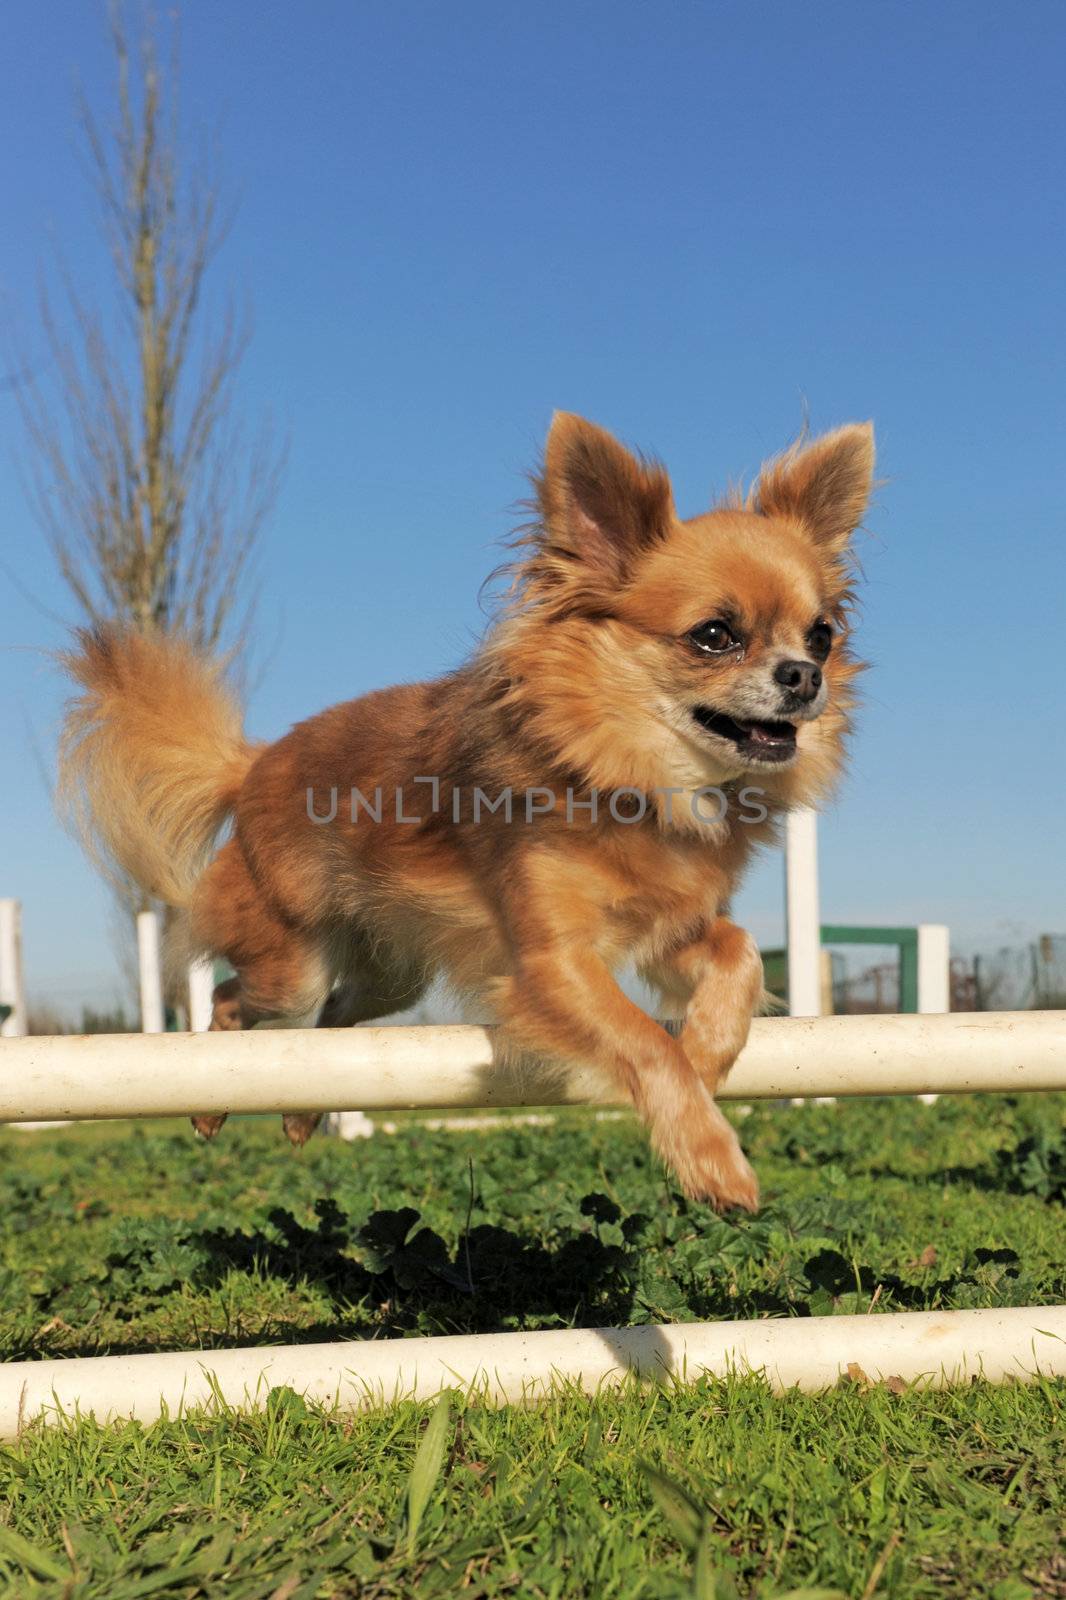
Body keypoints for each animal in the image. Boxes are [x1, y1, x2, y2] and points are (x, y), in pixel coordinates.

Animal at [60, 416, 870, 1209]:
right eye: (714, 636)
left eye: (823, 635)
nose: (805, 675)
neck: (635, 782)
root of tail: (251, 762)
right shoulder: (552, 964)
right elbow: (644, 1040)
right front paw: (710, 1157)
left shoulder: (667, 930)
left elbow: (737, 955)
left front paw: (706, 1051)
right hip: (290, 963)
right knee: (236, 999)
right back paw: (210, 1101)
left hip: (391, 977)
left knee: (330, 1030)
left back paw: (300, 1112)